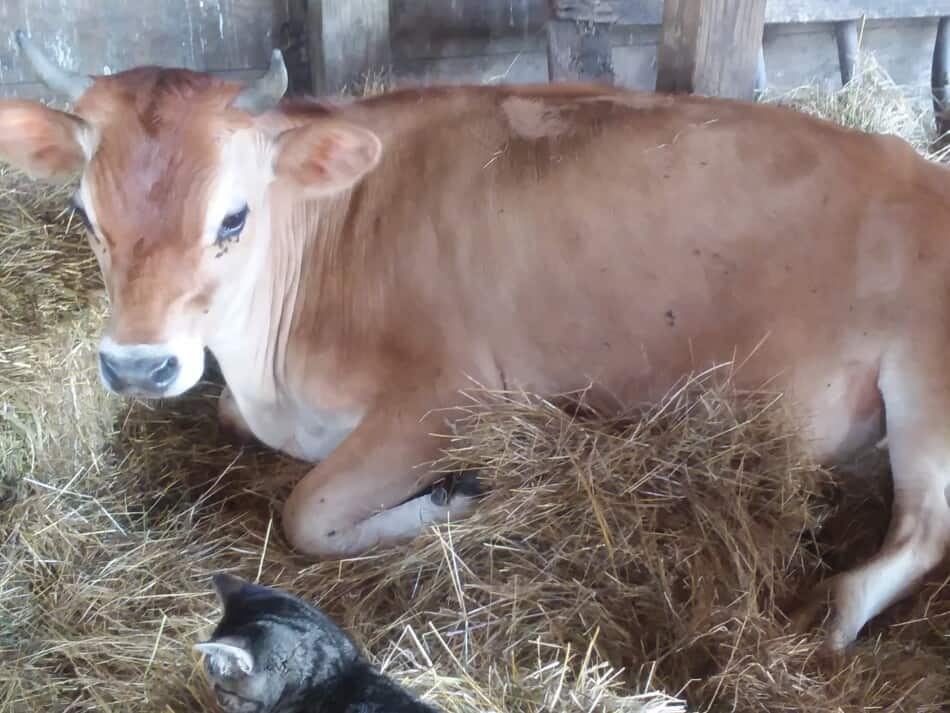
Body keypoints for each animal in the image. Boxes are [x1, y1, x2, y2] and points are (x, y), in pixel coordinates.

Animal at [1, 34, 950, 652]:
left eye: (232, 217)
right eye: (84, 212)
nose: (138, 365)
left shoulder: (449, 396)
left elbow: (308, 510)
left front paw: (459, 496)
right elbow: (241, 422)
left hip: (924, 381)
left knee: (924, 528)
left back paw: (831, 611)